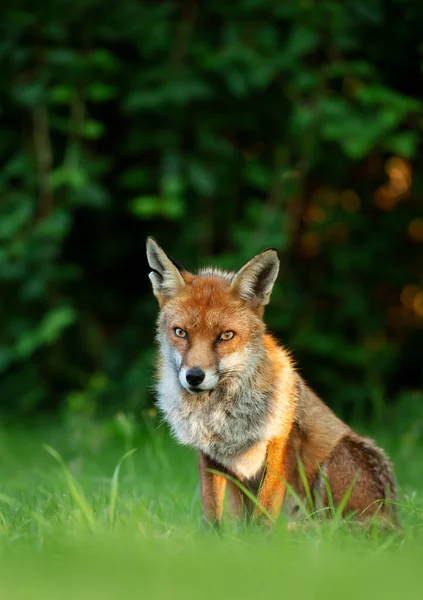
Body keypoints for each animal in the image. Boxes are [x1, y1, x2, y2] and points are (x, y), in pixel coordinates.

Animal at [146, 237, 398, 528]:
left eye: (226, 336)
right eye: (180, 333)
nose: (195, 376)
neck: (221, 415)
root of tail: (396, 522)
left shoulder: (281, 445)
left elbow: (263, 516)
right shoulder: (210, 455)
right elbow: (212, 514)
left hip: (335, 464)